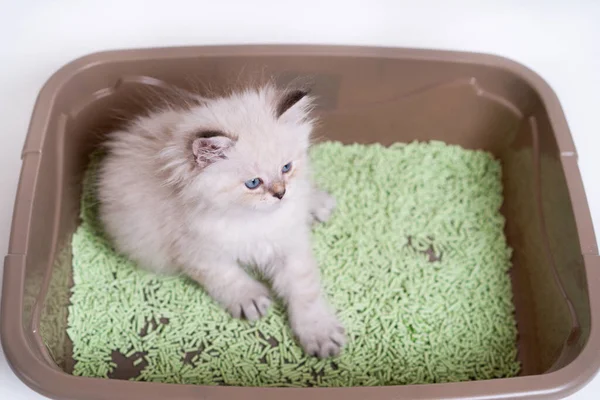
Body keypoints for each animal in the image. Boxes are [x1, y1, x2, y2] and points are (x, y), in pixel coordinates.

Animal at [98, 83, 346, 358]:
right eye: (253, 183)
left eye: (286, 167)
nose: (281, 193)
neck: (253, 220)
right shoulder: (197, 252)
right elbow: (227, 276)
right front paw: (251, 300)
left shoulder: (289, 244)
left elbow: (304, 290)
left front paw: (320, 333)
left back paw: (318, 203)